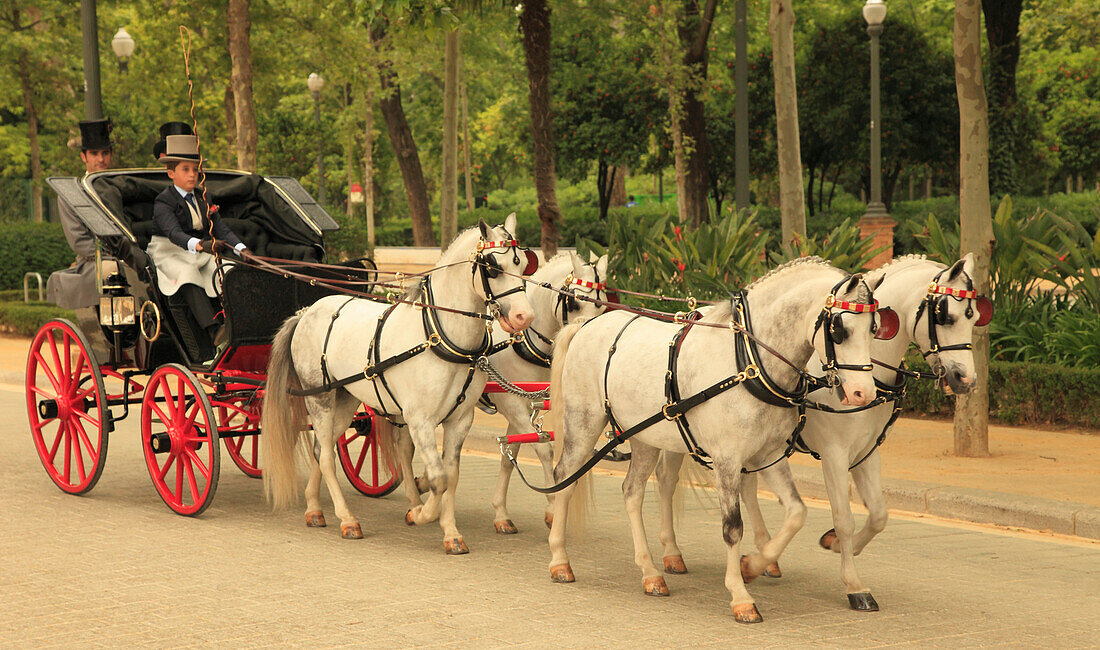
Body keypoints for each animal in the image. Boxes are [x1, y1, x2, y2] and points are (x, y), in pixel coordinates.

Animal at [258, 218, 532, 554]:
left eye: (523, 265)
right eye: (493, 267)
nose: (524, 316)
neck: (438, 335)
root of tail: (305, 312)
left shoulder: (460, 420)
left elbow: (451, 476)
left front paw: (450, 532)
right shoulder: (420, 420)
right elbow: (438, 478)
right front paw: (420, 513)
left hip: (345, 399)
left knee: (321, 447)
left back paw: (314, 508)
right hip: (319, 398)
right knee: (326, 456)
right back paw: (347, 519)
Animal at [545, 257, 880, 624]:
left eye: (874, 328)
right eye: (839, 329)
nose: (863, 393)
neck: (748, 362)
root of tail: (586, 325)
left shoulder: (767, 455)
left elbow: (796, 513)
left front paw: (753, 565)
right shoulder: (727, 460)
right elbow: (732, 527)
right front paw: (740, 595)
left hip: (645, 436)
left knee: (632, 492)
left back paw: (650, 573)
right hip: (584, 423)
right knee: (565, 479)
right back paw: (560, 559)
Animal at [646, 255, 985, 615]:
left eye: (975, 316)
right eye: (944, 315)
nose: (965, 379)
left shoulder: (866, 453)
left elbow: (879, 514)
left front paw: (833, 544)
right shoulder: (834, 454)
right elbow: (844, 516)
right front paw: (853, 584)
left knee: (747, 486)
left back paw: (765, 554)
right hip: (678, 436)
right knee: (666, 481)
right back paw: (672, 553)